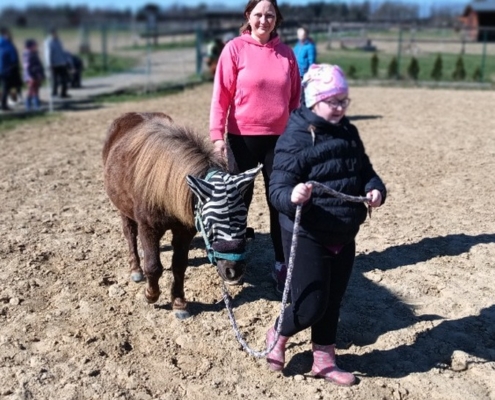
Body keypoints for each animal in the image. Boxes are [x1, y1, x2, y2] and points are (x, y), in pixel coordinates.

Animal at [102, 112, 262, 318]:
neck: (165, 189)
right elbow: (153, 266)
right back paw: (136, 269)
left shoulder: (184, 232)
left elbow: (179, 265)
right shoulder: (148, 228)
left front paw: (179, 303)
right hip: (123, 208)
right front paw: (151, 294)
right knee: (130, 234)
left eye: (244, 218)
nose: (233, 271)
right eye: (209, 224)